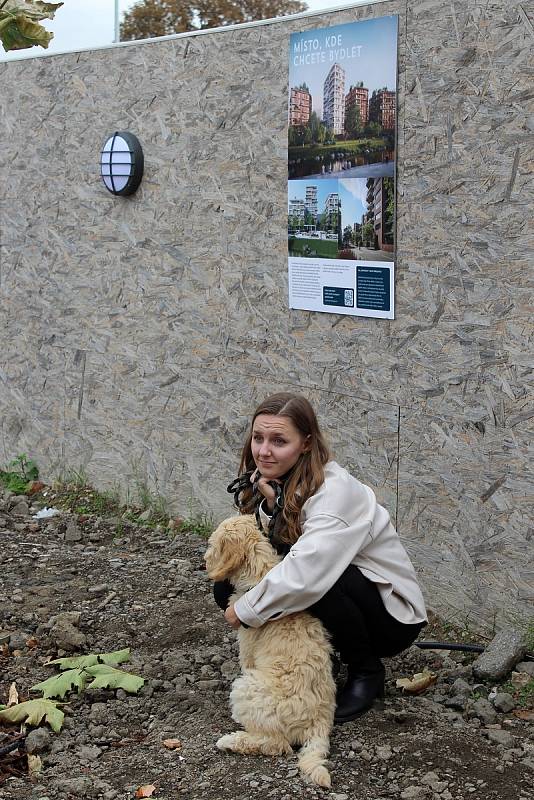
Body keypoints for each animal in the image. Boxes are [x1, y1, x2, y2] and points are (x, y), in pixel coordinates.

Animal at [205, 516, 336, 784]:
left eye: (212, 545)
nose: (204, 562)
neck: (259, 578)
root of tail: (320, 721)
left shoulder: (247, 652)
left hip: (246, 687)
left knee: (276, 744)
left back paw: (231, 740)